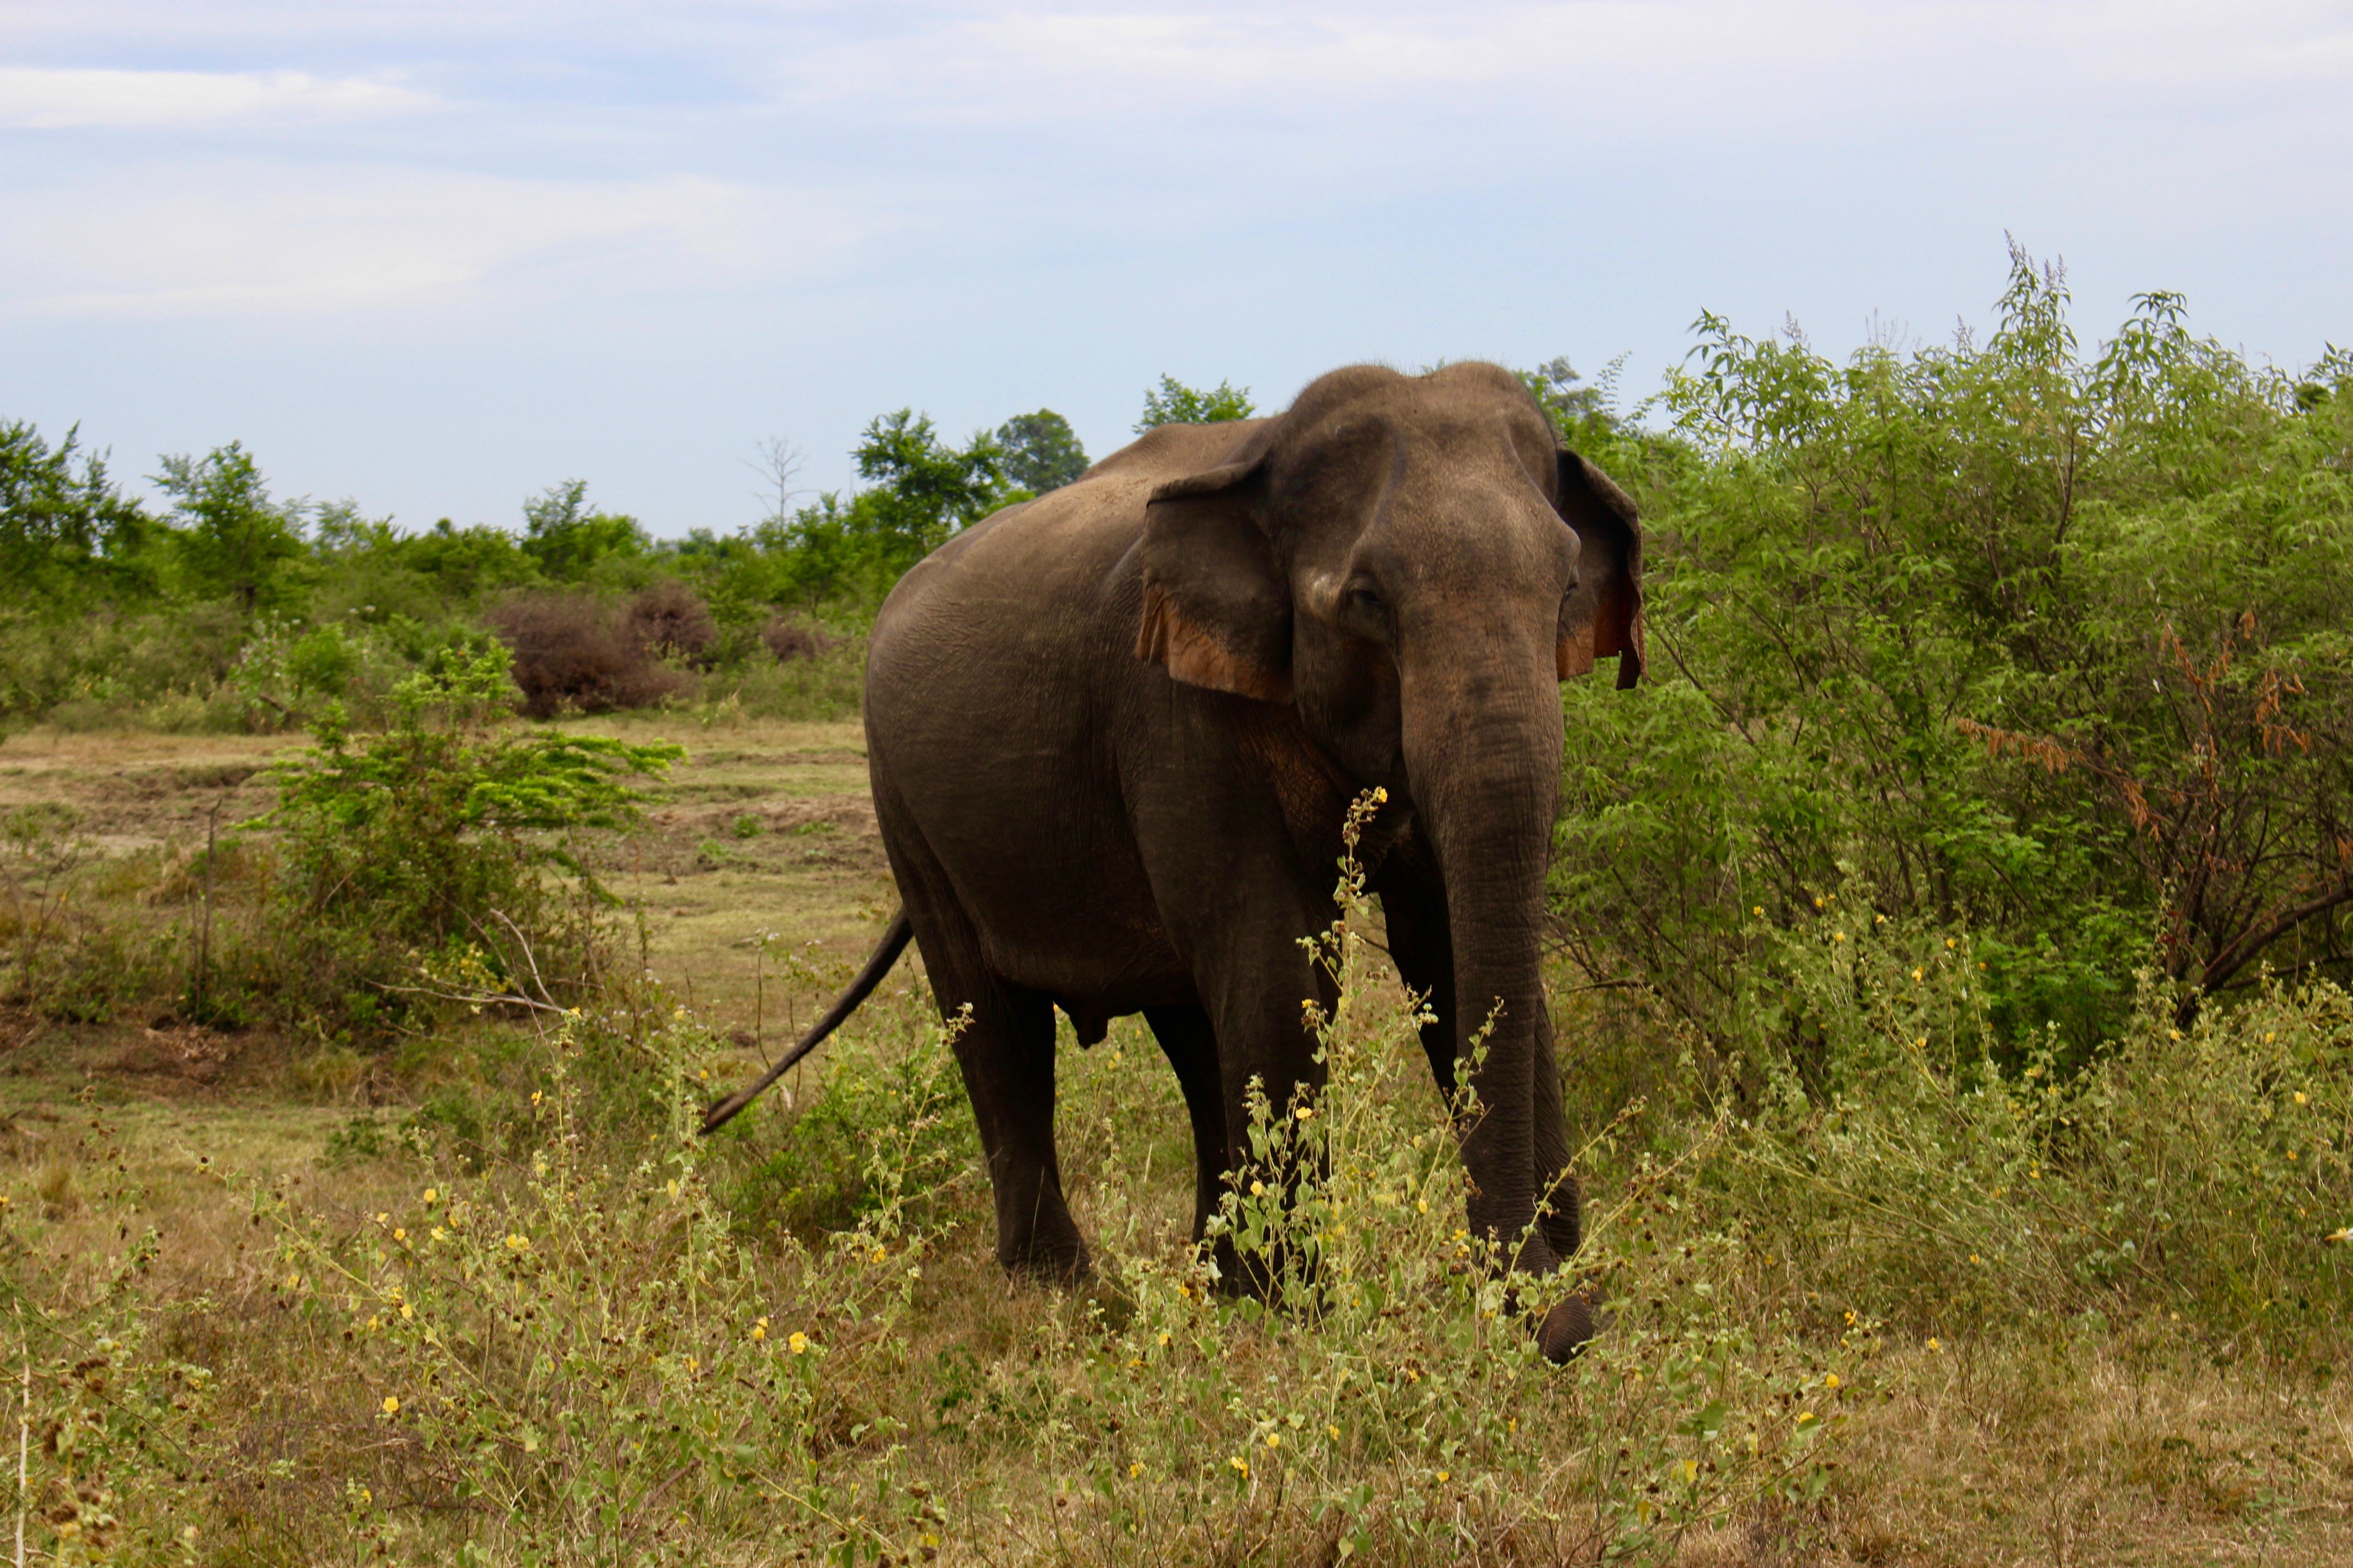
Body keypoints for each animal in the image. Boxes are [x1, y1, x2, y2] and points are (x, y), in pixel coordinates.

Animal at [706, 358, 1647, 1356]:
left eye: (1565, 590)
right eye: (1366, 601)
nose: (1568, 1324)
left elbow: (1443, 954)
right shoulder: (1174, 712)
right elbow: (1278, 963)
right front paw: (1300, 1318)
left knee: (1190, 1024)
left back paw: (1212, 1278)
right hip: (903, 801)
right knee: (994, 1021)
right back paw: (1063, 1287)